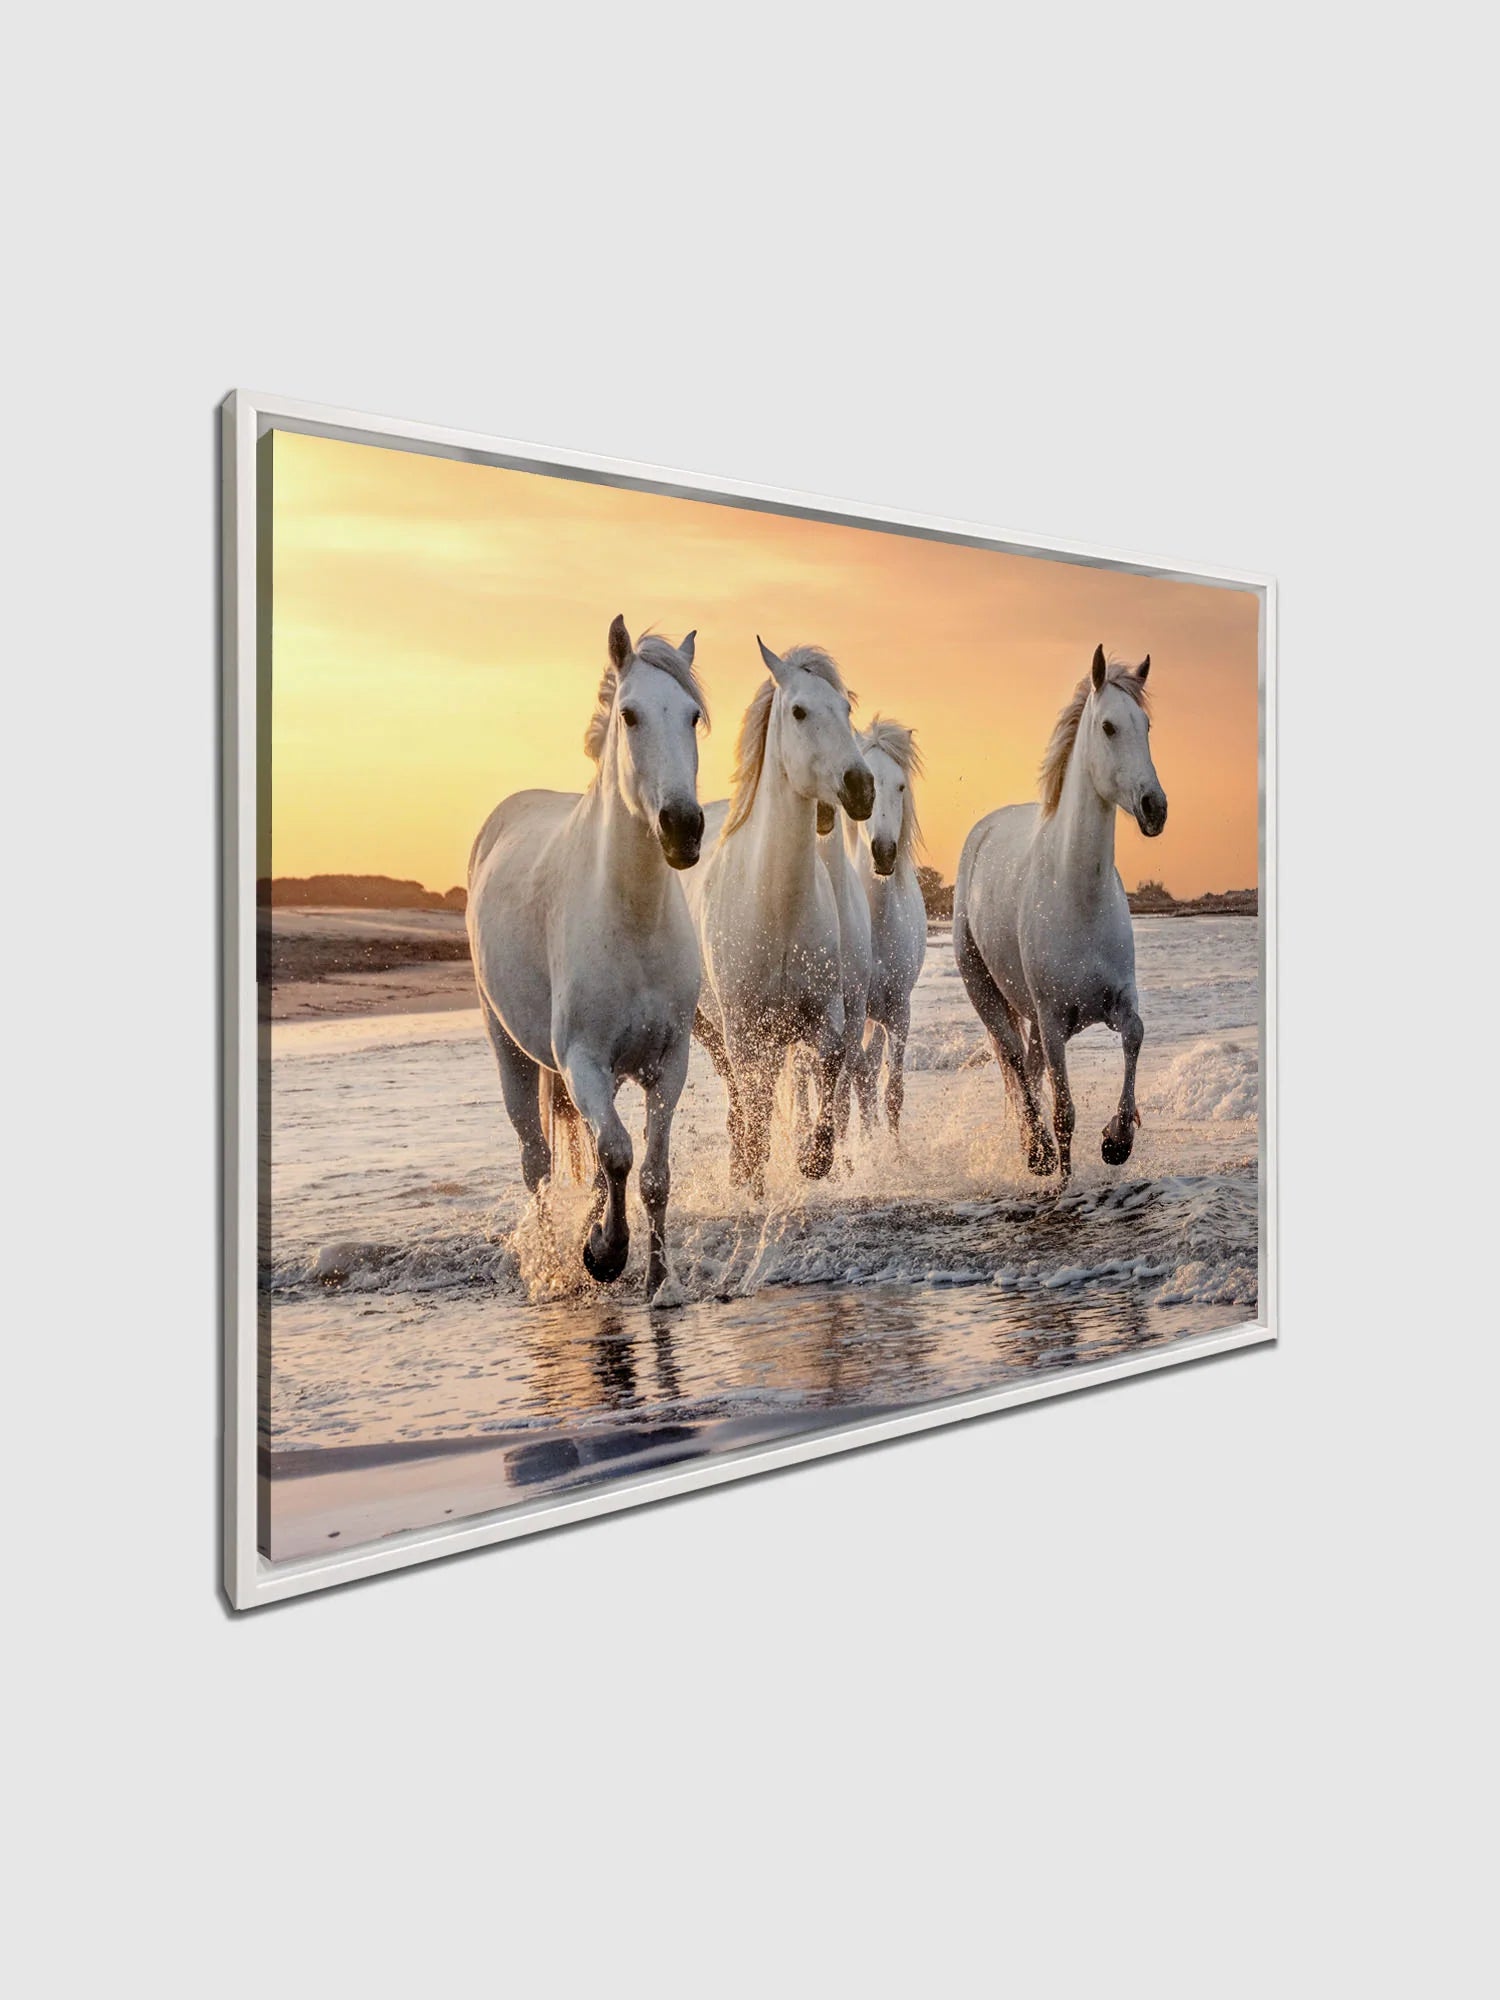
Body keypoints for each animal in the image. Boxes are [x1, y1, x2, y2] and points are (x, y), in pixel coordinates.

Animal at [466, 616, 708, 1300]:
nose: (683, 827)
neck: (630, 919)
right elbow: (619, 1155)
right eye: (629, 714)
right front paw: (605, 1255)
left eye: (693, 716)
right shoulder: (582, 1061)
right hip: (511, 1052)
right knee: (539, 1164)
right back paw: (555, 1263)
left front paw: (656, 1280)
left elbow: (650, 1172)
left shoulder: (668, 1062)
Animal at [682, 639, 874, 1196]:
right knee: (740, 1099)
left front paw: (814, 1161)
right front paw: (752, 1178)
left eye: (846, 709)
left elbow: (829, 1079)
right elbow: (757, 1112)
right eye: (799, 711)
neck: (777, 909)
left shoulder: (825, 1019)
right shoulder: (746, 1033)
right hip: (712, 1029)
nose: (861, 787)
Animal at [952, 646, 1167, 1183]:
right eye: (1109, 727)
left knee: (1026, 1069)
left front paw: (1117, 1140)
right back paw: (1037, 1154)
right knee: (1014, 1061)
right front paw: (1065, 1176)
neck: (1078, 897)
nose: (1155, 807)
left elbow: (1136, 1034)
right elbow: (1065, 1112)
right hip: (985, 992)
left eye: (1146, 725)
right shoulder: (1052, 1022)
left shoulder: (1118, 1000)